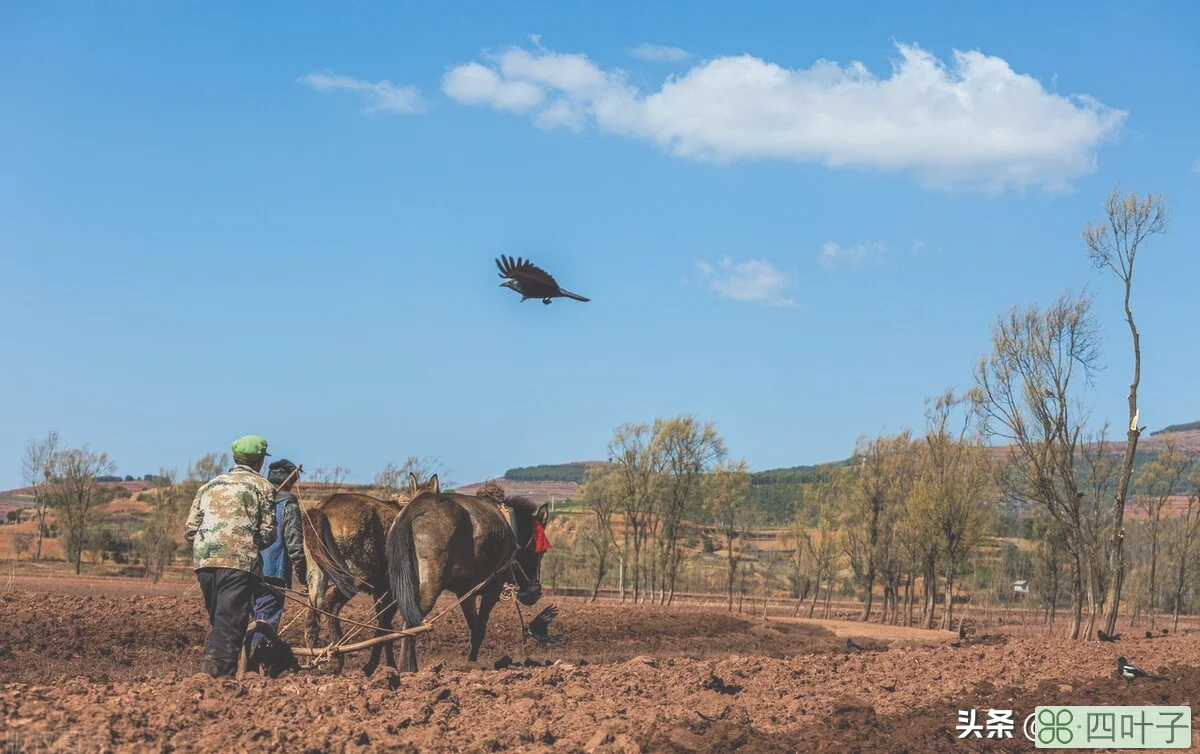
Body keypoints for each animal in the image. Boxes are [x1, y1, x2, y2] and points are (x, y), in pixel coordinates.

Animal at [298, 482, 427, 677]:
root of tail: (323, 509)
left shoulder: (381, 593)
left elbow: (384, 625)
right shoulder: (390, 593)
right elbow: (385, 626)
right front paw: (383, 666)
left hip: (317, 575)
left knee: (312, 616)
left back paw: (312, 663)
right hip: (355, 579)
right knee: (330, 605)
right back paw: (337, 656)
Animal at [386, 473, 549, 672]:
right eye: (539, 552)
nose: (535, 593)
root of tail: (415, 509)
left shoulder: (466, 593)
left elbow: (473, 626)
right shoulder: (492, 588)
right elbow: (480, 629)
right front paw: (472, 663)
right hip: (432, 584)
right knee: (412, 621)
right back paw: (408, 669)